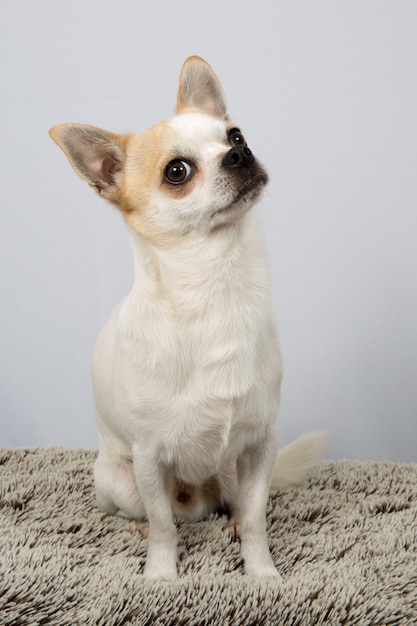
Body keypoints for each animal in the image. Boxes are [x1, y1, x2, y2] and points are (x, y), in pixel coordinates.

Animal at [50, 56, 326, 576]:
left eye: (235, 135)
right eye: (177, 171)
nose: (240, 154)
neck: (215, 285)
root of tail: (199, 497)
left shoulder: (260, 445)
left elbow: (257, 518)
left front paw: (263, 574)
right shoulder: (149, 459)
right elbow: (163, 526)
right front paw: (161, 575)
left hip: (231, 471)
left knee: (234, 506)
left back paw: (231, 523)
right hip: (119, 478)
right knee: (162, 515)